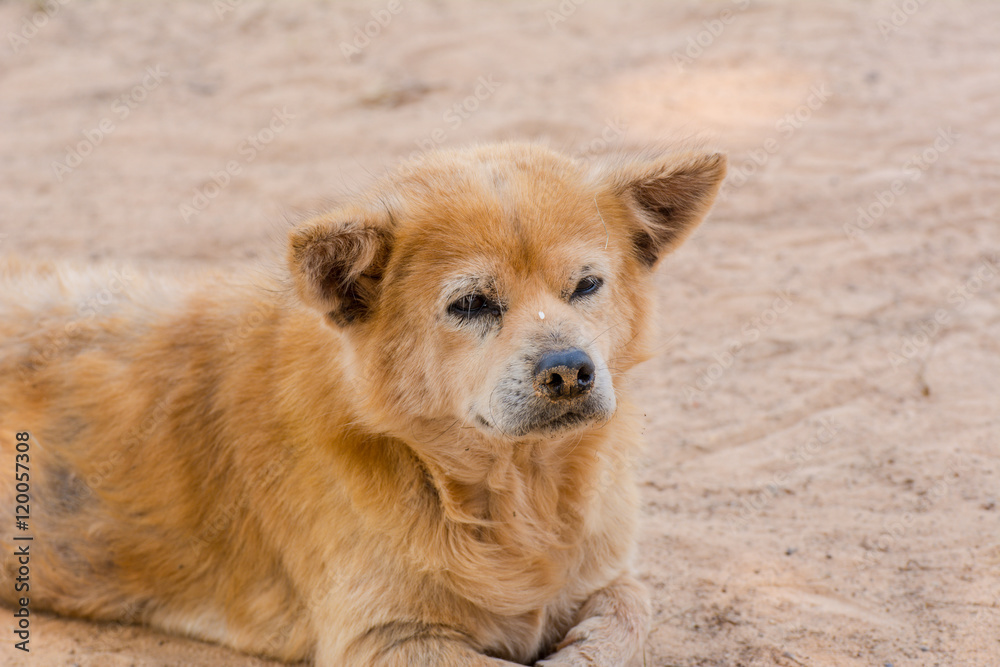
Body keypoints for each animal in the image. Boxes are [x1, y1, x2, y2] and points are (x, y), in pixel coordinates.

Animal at [0, 144, 724, 664]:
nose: (569, 371)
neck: (516, 494)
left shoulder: (609, 576)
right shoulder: (383, 638)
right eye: (471, 303)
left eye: (587, 285)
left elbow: (629, 613)